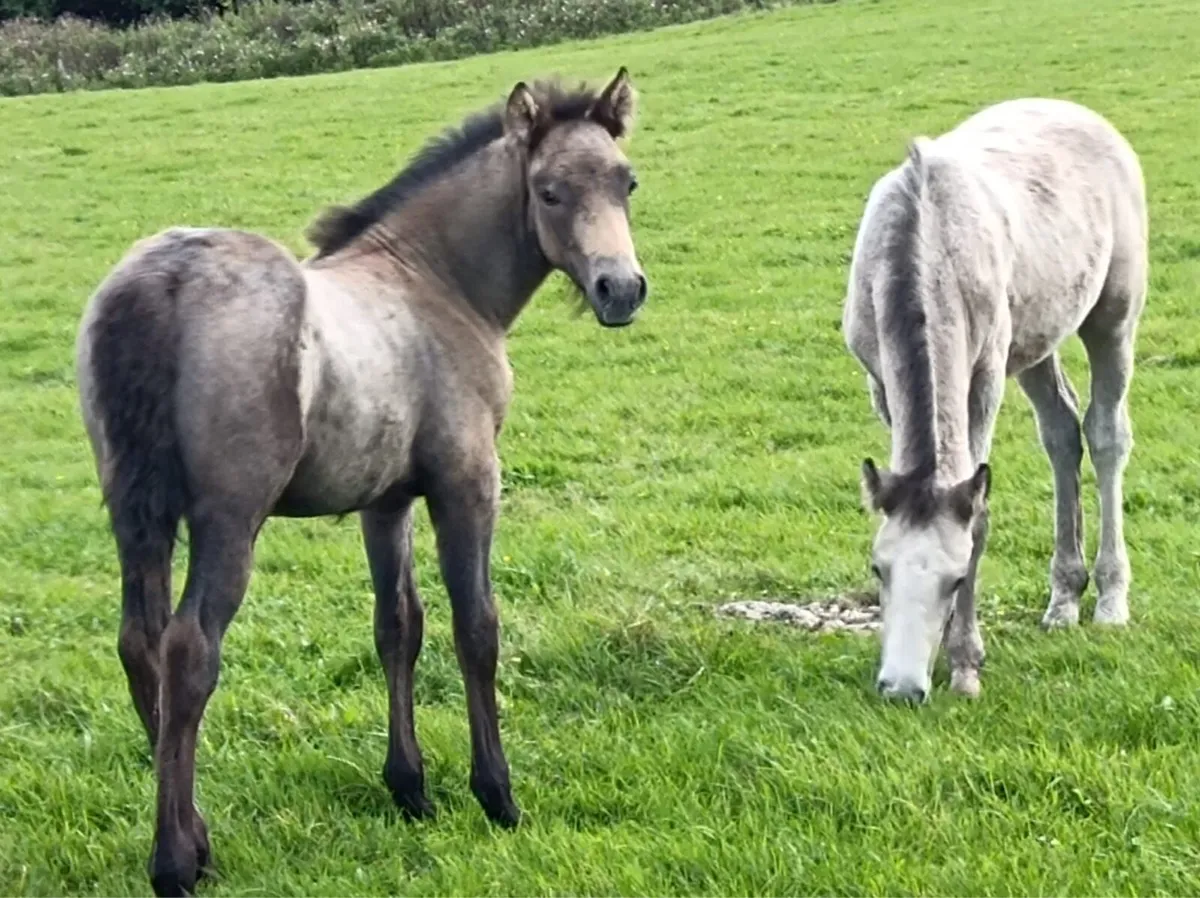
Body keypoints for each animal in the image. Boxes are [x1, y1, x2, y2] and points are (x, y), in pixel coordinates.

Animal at [75, 68, 647, 896]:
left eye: (625, 181)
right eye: (548, 191)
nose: (620, 289)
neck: (434, 282)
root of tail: (164, 277)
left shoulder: (386, 501)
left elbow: (397, 626)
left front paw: (410, 788)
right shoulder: (468, 482)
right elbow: (476, 626)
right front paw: (496, 794)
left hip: (133, 510)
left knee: (138, 643)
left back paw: (199, 835)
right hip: (229, 519)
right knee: (189, 651)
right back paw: (177, 861)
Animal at [842, 98, 1148, 704]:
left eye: (957, 577)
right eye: (877, 568)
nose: (902, 689)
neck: (923, 235)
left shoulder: (982, 377)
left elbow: (978, 514)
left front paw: (964, 664)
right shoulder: (880, 381)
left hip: (1114, 315)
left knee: (1106, 433)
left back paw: (1108, 599)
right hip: (1033, 341)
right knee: (1061, 431)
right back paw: (1064, 598)